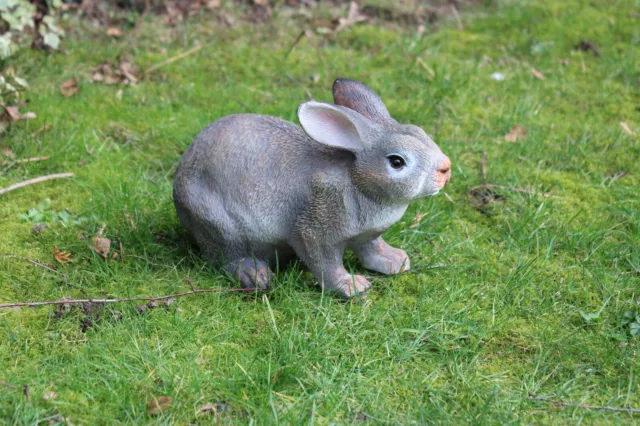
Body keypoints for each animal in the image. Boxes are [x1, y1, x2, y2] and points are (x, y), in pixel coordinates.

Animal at [171, 78, 450, 298]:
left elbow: (371, 248)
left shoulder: (367, 235)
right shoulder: (314, 230)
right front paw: (351, 286)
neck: (358, 182)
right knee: (226, 255)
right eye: (397, 161)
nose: (445, 169)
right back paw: (254, 274)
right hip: (217, 222)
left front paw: (395, 261)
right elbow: (325, 263)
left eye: (420, 132)